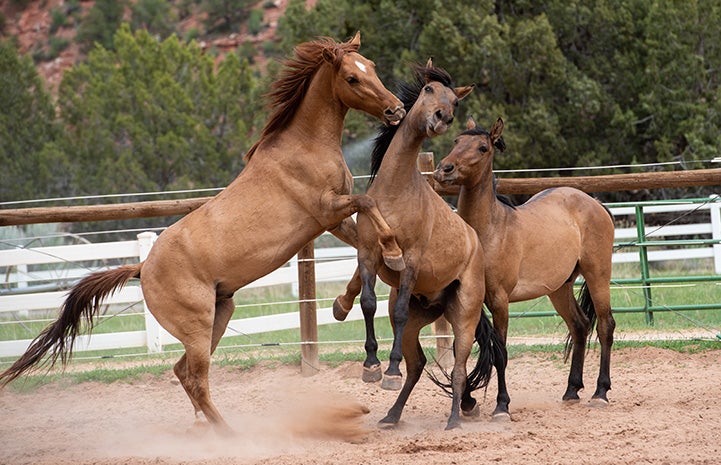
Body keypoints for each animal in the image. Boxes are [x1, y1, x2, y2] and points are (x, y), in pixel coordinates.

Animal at [0, 33, 404, 436]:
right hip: (197, 327)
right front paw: (395, 253)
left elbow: (363, 246)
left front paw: (346, 301)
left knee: (182, 372)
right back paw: (229, 434)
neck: (305, 146)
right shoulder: (327, 210)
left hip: (220, 314)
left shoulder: (334, 221)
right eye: (352, 77)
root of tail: (142, 268)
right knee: (196, 379)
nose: (396, 111)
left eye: (372, 66)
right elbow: (368, 202)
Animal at [430, 118, 616, 418]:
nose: (444, 169)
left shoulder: (499, 301)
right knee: (580, 326)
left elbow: (500, 353)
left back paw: (601, 392)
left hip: (598, 275)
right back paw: (571, 390)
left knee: (605, 326)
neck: (489, 231)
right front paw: (467, 401)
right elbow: (467, 348)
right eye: (457, 141)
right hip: (559, 288)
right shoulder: (468, 300)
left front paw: (501, 405)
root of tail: (594, 203)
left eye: (482, 148)